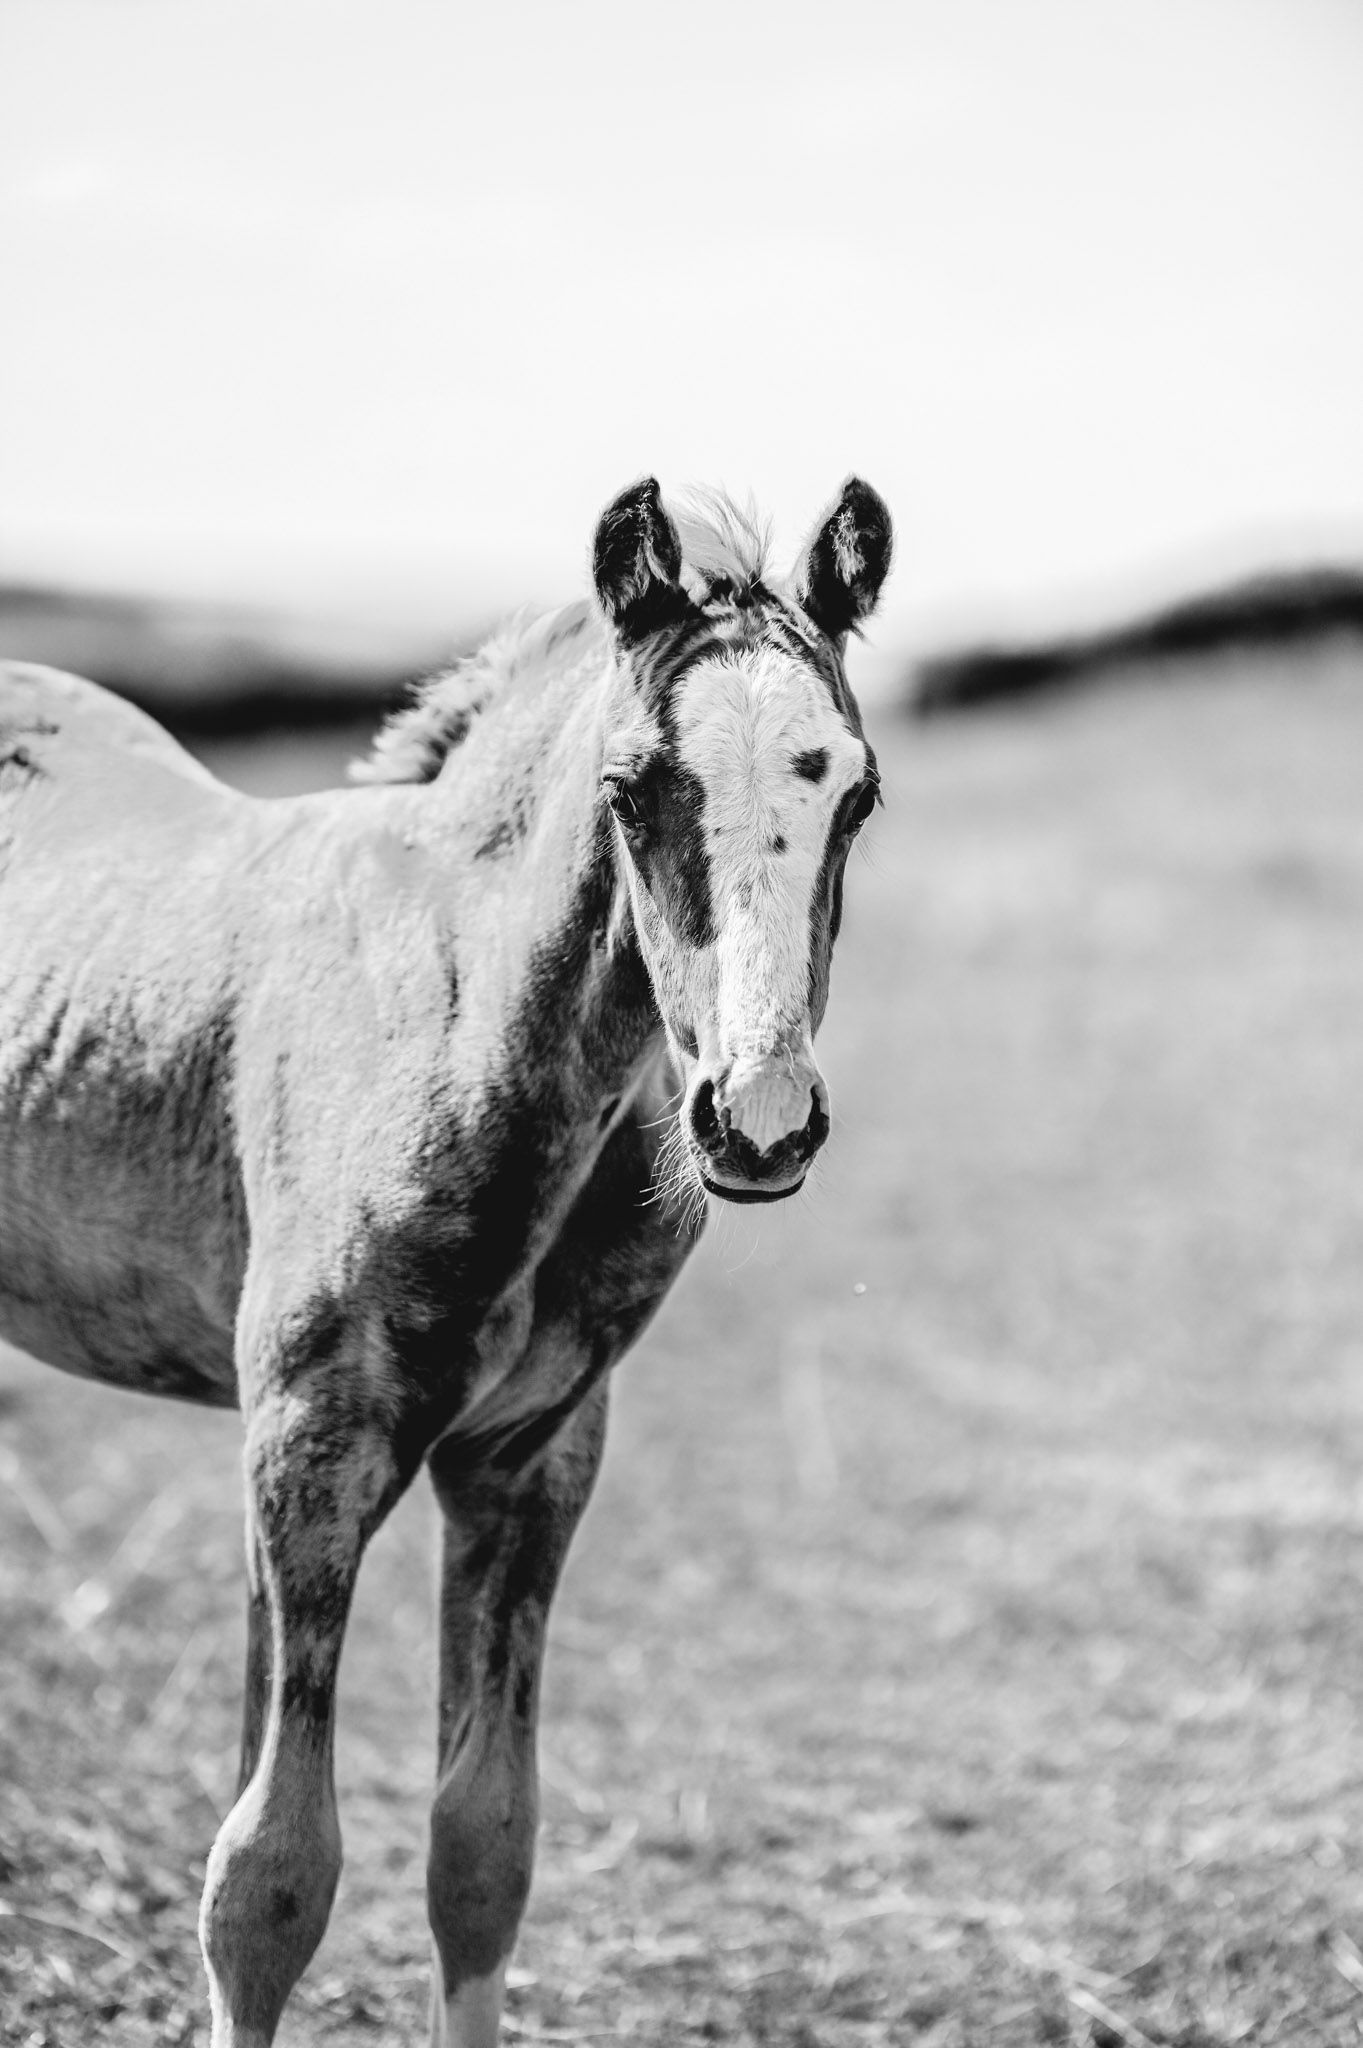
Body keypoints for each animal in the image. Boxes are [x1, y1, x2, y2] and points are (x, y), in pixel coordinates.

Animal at [0, 474, 892, 2047]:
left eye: (854, 791)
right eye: (628, 788)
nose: (759, 1118)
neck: (454, 1022)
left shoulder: (530, 1457)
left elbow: (483, 1843)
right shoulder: (311, 1443)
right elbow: (270, 1875)